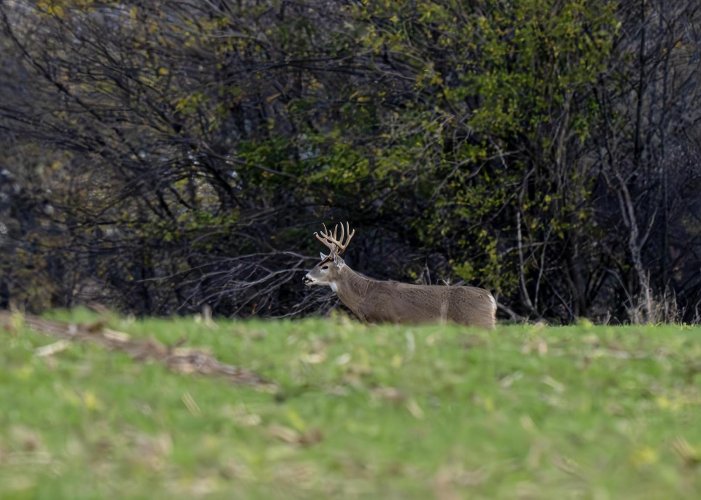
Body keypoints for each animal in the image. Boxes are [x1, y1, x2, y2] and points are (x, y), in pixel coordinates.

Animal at [304, 223, 494, 328]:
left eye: (325, 266)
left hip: (479, 322)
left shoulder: (384, 321)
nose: (305, 277)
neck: (364, 295)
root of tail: (491, 299)